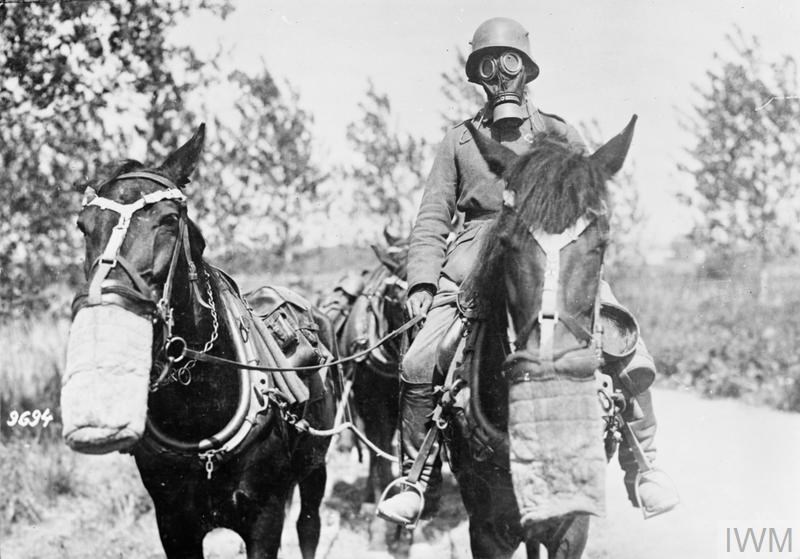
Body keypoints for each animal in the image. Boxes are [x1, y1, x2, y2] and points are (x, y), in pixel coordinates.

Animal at [61, 127, 334, 559]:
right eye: (83, 225)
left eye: (169, 220)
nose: (111, 306)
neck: (200, 409)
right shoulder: (173, 523)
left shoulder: (265, 517)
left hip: (314, 468)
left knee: (309, 525)